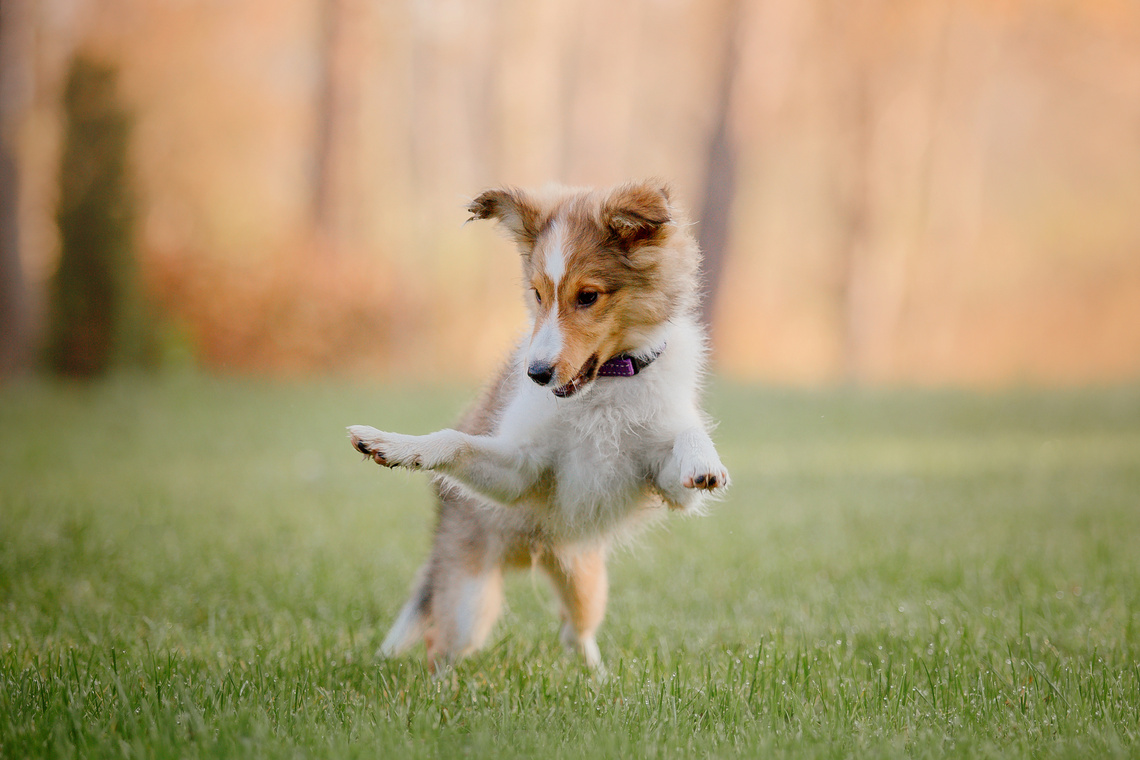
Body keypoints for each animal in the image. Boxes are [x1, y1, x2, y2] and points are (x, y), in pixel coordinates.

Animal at [344, 180, 729, 669]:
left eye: (588, 296)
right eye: (539, 294)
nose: (537, 374)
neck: (607, 386)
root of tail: (532, 550)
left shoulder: (667, 486)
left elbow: (688, 437)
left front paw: (705, 464)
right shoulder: (521, 470)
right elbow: (455, 441)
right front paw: (394, 446)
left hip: (585, 577)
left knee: (574, 629)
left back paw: (599, 678)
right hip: (468, 594)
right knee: (440, 645)